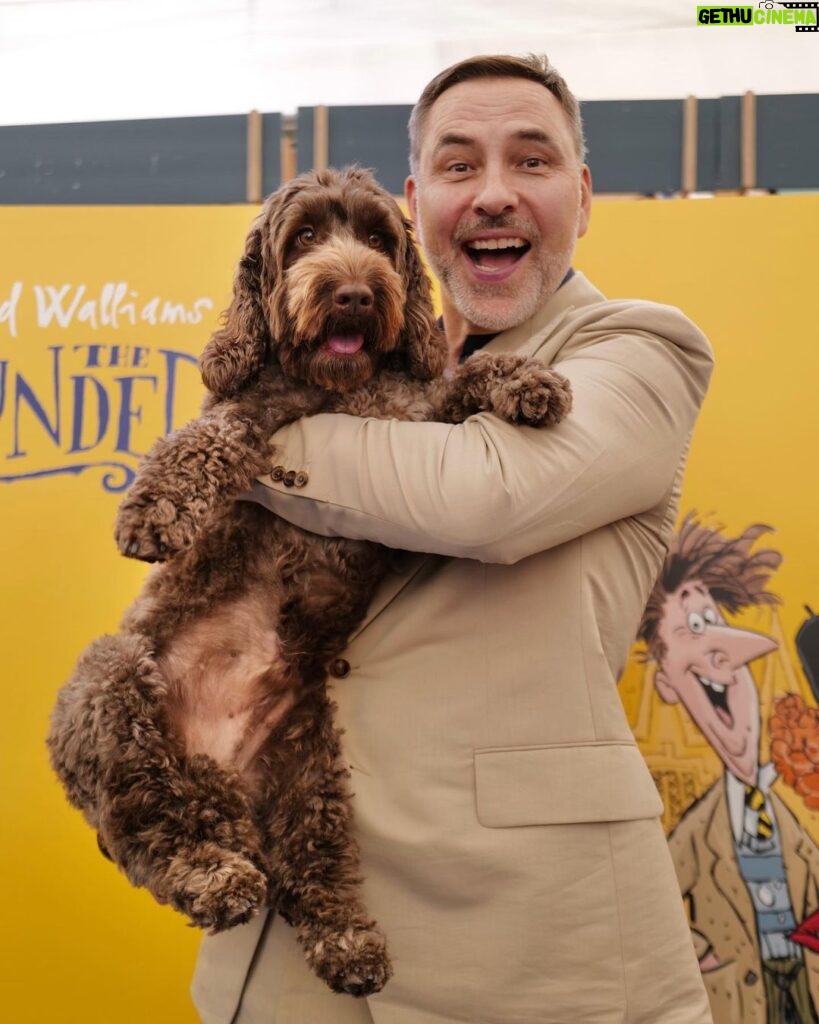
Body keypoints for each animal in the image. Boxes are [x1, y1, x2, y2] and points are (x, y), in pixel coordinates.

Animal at [44, 165, 569, 991]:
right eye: (306, 237)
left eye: (379, 239)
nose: (353, 293)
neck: (338, 385)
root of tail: (212, 771)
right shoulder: (251, 415)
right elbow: (207, 437)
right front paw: (155, 506)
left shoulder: (412, 413)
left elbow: (463, 376)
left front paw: (527, 379)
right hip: (113, 683)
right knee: (148, 832)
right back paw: (213, 879)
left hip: (307, 765)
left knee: (306, 865)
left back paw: (347, 942)